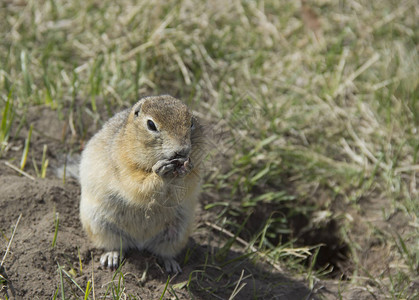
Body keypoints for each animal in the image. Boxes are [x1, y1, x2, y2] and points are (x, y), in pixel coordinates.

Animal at [79, 95, 206, 274]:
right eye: (151, 125)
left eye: (191, 122)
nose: (182, 150)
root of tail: (140, 242)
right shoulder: (123, 163)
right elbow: (136, 184)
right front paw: (159, 172)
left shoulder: (197, 169)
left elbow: (188, 184)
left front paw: (185, 168)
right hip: (100, 225)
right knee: (115, 245)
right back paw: (111, 257)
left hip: (178, 232)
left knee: (164, 252)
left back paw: (171, 265)